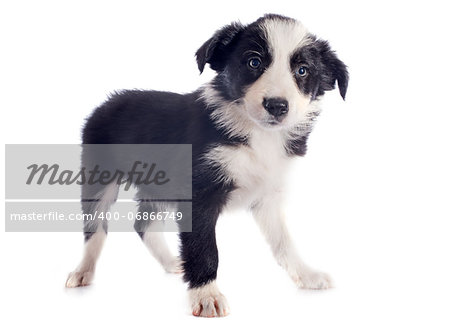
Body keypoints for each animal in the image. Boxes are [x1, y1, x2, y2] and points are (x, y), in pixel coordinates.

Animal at [66, 13, 348, 318]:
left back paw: (172, 261)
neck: (256, 135)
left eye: (303, 71)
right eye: (254, 62)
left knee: (143, 224)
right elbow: (203, 247)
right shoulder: (199, 192)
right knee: (96, 225)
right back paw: (83, 271)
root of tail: (108, 101)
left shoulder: (268, 196)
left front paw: (307, 275)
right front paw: (206, 295)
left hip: (160, 186)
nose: (276, 106)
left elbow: (284, 242)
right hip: (99, 174)